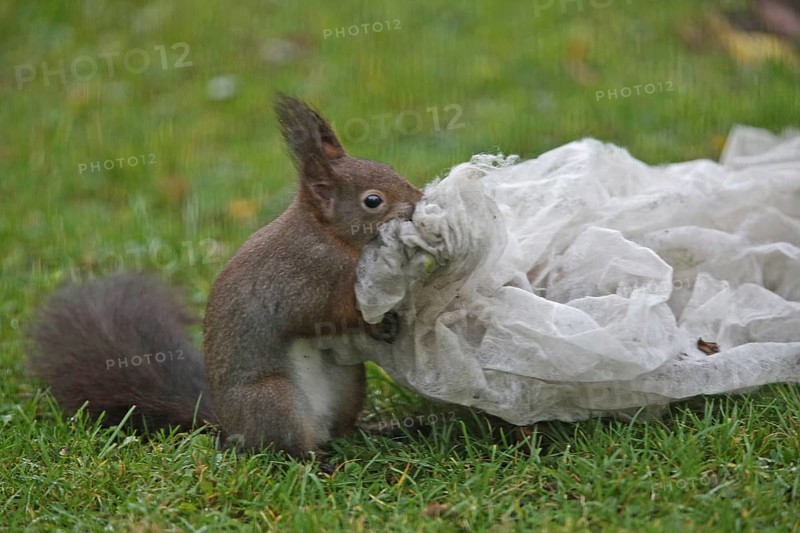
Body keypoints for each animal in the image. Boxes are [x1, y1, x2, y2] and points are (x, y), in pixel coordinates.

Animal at [26, 95, 423, 456]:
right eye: (373, 201)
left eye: (387, 167)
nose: (419, 200)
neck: (329, 236)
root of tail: (228, 427)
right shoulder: (302, 279)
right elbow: (323, 315)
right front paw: (378, 320)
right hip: (271, 399)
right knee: (285, 449)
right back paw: (317, 462)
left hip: (348, 380)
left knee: (342, 429)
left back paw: (378, 431)